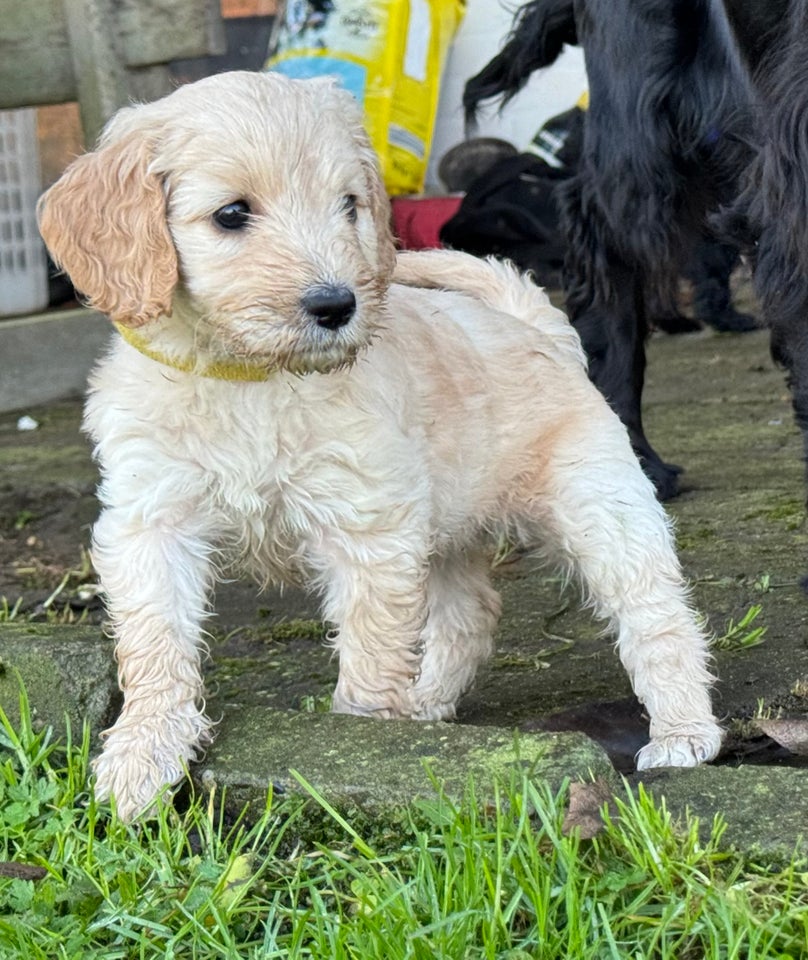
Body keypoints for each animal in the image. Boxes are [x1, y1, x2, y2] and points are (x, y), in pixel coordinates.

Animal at [36, 71, 720, 820]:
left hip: (600, 504)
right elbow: (155, 644)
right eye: (231, 214)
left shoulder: (368, 526)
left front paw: (358, 749)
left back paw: (683, 733)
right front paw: (142, 753)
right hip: (445, 526)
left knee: (657, 615)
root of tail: (536, 326)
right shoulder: (150, 521)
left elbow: (369, 653)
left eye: (349, 205)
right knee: (471, 613)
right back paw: (426, 709)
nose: (337, 306)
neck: (250, 377)